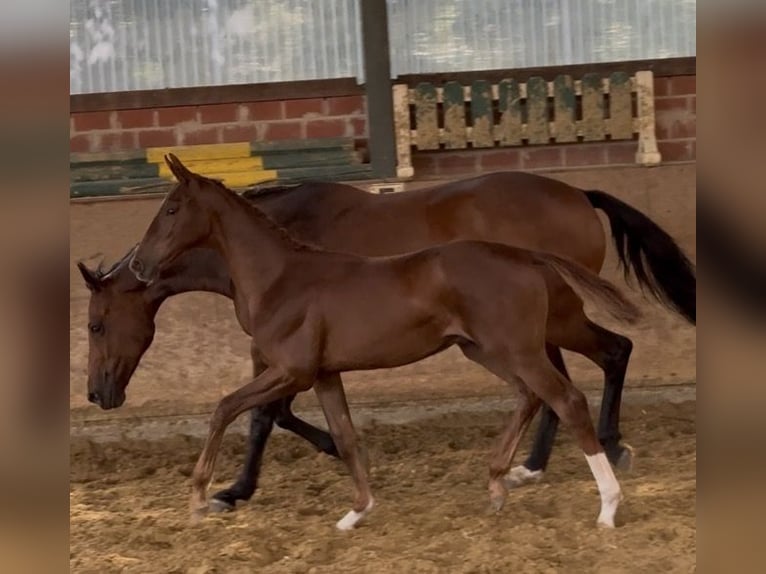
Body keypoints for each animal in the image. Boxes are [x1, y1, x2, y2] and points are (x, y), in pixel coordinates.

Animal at [78, 163, 695, 513]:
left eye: (95, 324)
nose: (98, 394)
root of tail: (578, 193)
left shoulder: (281, 356)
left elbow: (261, 415)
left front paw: (232, 490)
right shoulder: (306, 360)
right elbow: (285, 415)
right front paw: (333, 463)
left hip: (546, 325)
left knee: (590, 368)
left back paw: (591, 457)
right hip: (528, 332)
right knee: (581, 371)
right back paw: (538, 465)